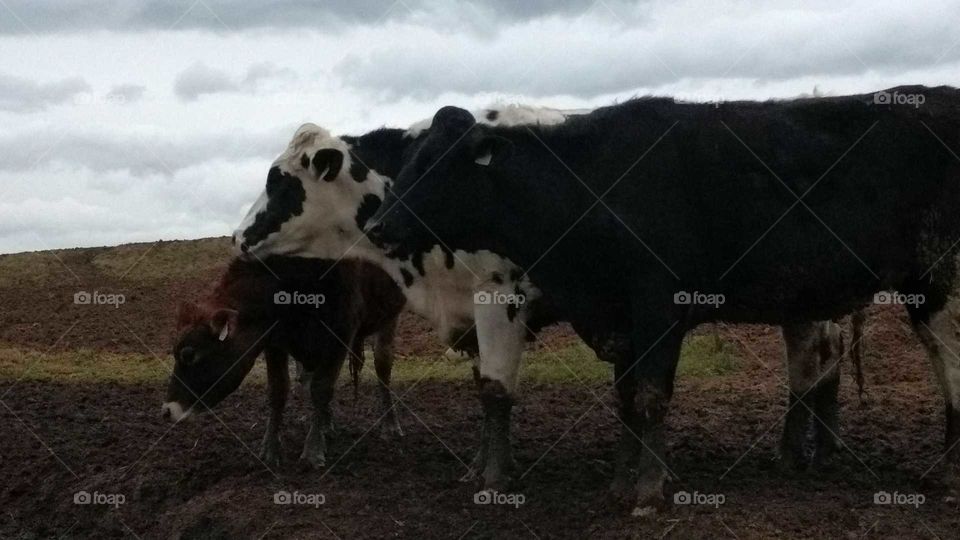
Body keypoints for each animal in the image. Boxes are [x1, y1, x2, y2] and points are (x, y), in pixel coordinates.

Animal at [161, 256, 405, 468]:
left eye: (189, 354)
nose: (166, 411)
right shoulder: (274, 340)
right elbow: (279, 390)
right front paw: (270, 449)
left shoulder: (341, 333)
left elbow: (321, 389)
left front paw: (312, 450)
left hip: (389, 318)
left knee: (382, 366)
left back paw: (390, 424)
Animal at [231, 105, 852, 492]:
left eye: (279, 181)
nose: (238, 238)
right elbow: (485, 388)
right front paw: (479, 466)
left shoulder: (500, 298)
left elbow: (497, 392)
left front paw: (494, 478)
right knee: (821, 366)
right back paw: (813, 451)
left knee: (813, 368)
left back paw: (801, 453)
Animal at [367, 86, 960, 511]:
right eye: (410, 159)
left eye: (439, 163)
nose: (378, 225)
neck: (592, 184)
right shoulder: (619, 318)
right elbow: (626, 400)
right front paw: (620, 483)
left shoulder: (658, 306)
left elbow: (650, 397)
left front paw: (648, 493)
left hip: (940, 289)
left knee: (949, 368)